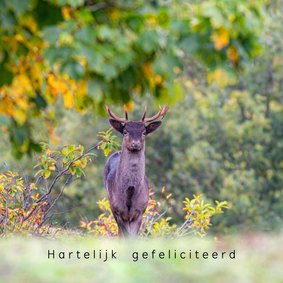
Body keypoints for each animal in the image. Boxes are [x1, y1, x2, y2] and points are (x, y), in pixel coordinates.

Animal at [103, 105, 169, 237]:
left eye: (144, 132)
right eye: (125, 131)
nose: (135, 144)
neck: (130, 191)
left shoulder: (140, 211)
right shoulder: (118, 210)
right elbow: (124, 236)